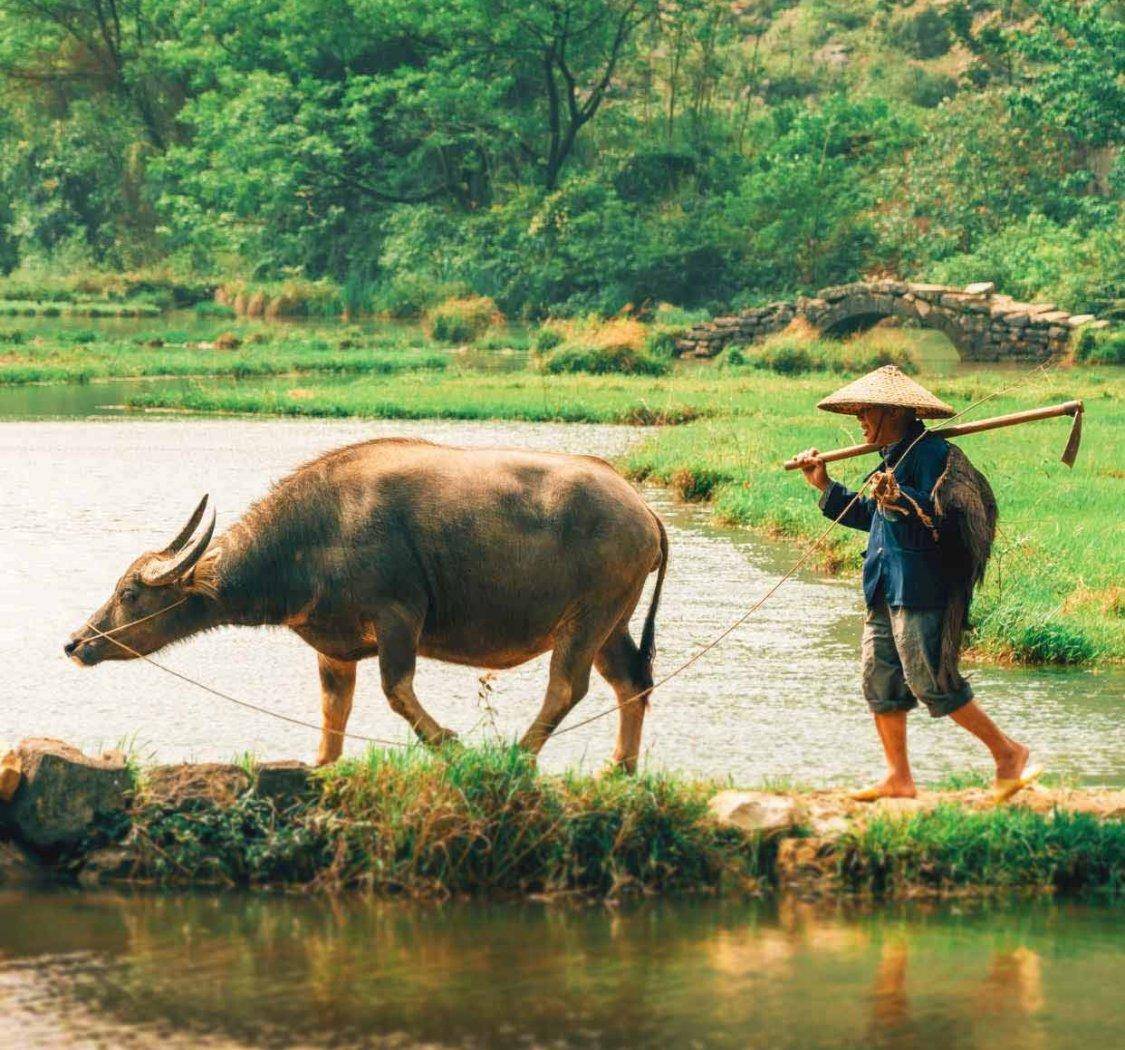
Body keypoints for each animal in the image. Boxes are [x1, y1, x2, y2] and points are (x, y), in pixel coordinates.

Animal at [65, 434, 666, 769]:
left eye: (129, 593)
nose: (76, 643)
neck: (313, 535)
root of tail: (641, 507)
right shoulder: (334, 646)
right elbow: (335, 709)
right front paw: (323, 764)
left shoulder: (398, 618)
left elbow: (396, 691)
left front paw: (451, 746)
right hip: (612, 621)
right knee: (630, 682)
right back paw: (620, 767)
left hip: (587, 615)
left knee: (567, 685)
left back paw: (519, 755)